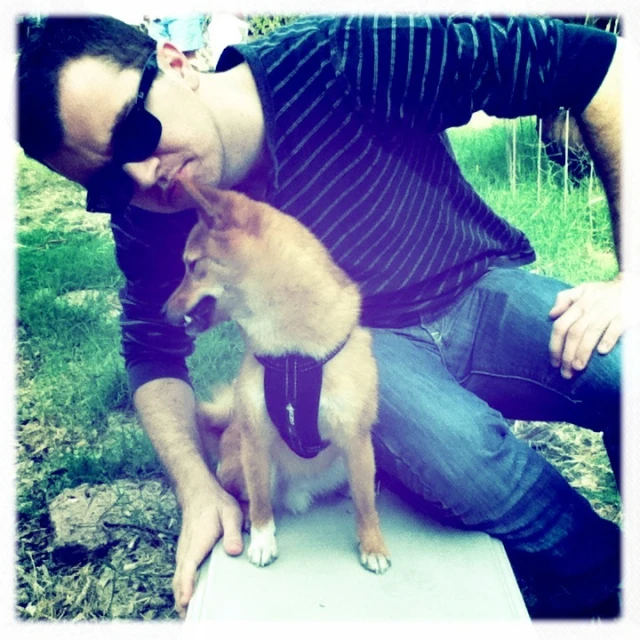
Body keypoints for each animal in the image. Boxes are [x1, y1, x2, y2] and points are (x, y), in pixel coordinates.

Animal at [164, 178, 390, 572]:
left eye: (192, 266)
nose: (162, 313)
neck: (291, 358)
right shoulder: (256, 439)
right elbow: (259, 502)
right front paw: (262, 540)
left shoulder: (356, 437)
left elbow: (366, 504)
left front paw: (373, 545)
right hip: (243, 460)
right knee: (244, 495)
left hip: (346, 459)